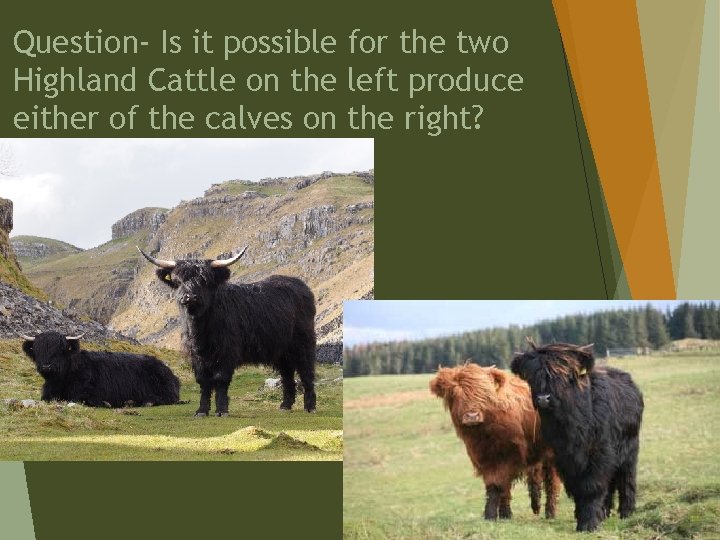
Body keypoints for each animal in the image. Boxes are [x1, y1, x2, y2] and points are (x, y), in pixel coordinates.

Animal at [21, 331, 180, 407]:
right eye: (37, 349)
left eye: (61, 349)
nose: (46, 366)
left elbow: (82, 399)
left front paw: (105, 403)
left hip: (163, 391)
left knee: (166, 399)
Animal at [137, 246, 317, 417]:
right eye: (177, 280)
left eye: (204, 280)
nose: (189, 297)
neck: (200, 331)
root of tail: (301, 286)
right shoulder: (196, 356)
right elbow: (203, 381)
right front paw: (201, 410)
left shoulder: (226, 353)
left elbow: (221, 380)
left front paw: (222, 410)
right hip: (282, 352)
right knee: (287, 375)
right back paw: (285, 406)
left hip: (304, 344)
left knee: (306, 372)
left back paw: (310, 407)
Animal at [430, 363, 561, 520]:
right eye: (455, 394)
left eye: (484, 394)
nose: (472, 416)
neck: (484, 434)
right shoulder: (484, 459)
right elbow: (496, 485)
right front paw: (503, 515)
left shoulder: (508, 456)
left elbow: (499, 485)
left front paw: (492, 514)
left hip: (551, 453)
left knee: (551, 480)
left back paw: (550, 512)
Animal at [511, 341, 644, 532]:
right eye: (532, 376)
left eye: (563, 376)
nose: (543, 398)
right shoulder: (564, 458)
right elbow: (577, 488)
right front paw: (584, 516)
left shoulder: (600, 453)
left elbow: (592, 487)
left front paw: (589, 523)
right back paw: (605, 512)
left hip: (630, 448)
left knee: (626, 478)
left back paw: (626, 512)